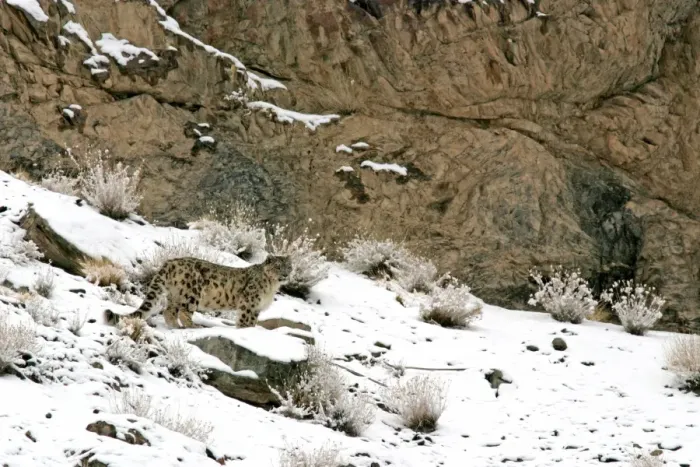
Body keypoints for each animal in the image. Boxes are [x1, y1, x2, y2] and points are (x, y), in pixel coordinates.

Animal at [105, 254, 292, 329]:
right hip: (192, 293)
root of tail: (170, 262)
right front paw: (244, 329)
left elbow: (252, 322)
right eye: (278, 266)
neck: (271, 287)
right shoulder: (249, 303)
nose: (286, 274)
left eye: (289, 267)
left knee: (169, 311)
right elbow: (245, 320)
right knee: (184, 312)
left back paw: (175, 327)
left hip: (176, 294)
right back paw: (193, 326)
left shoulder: (257, 308)